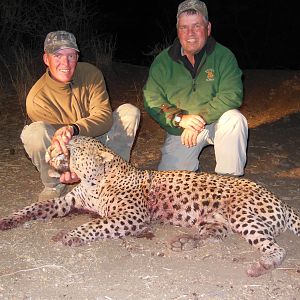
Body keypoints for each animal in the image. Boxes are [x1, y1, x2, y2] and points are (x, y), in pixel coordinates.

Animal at [0, 136, 300, 276]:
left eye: (79, 146)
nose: (65, 140)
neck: (95, 180)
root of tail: (281, 201)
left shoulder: (130, 216)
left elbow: (95, 223)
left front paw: (70, 235)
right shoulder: (66, 202)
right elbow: (33, 208)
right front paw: (8, 219)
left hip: (242, 214)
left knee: (277, 248)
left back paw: (262, 266)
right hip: (215, 220)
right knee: (214, 235)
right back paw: (184, 242)